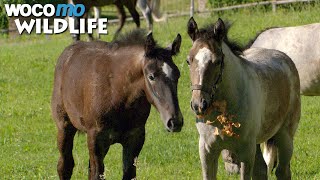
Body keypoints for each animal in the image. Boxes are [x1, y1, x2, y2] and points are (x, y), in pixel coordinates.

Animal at [51, 29, 184, 180]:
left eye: (178, 74)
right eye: (151, 76)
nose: (175, 122)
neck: (117, 93)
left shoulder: (135, 138)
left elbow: (128, 173)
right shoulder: (96, 138)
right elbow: (96, 174)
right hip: (64, 127)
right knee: (65, 165)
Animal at [186, 17, 302, 180]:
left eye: (217, 61)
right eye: (188, 61)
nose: (199, 104)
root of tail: (284, 58)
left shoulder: (246, 152)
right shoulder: (207, 150)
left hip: (284, 136)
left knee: (282, 171)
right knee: (261, 171)